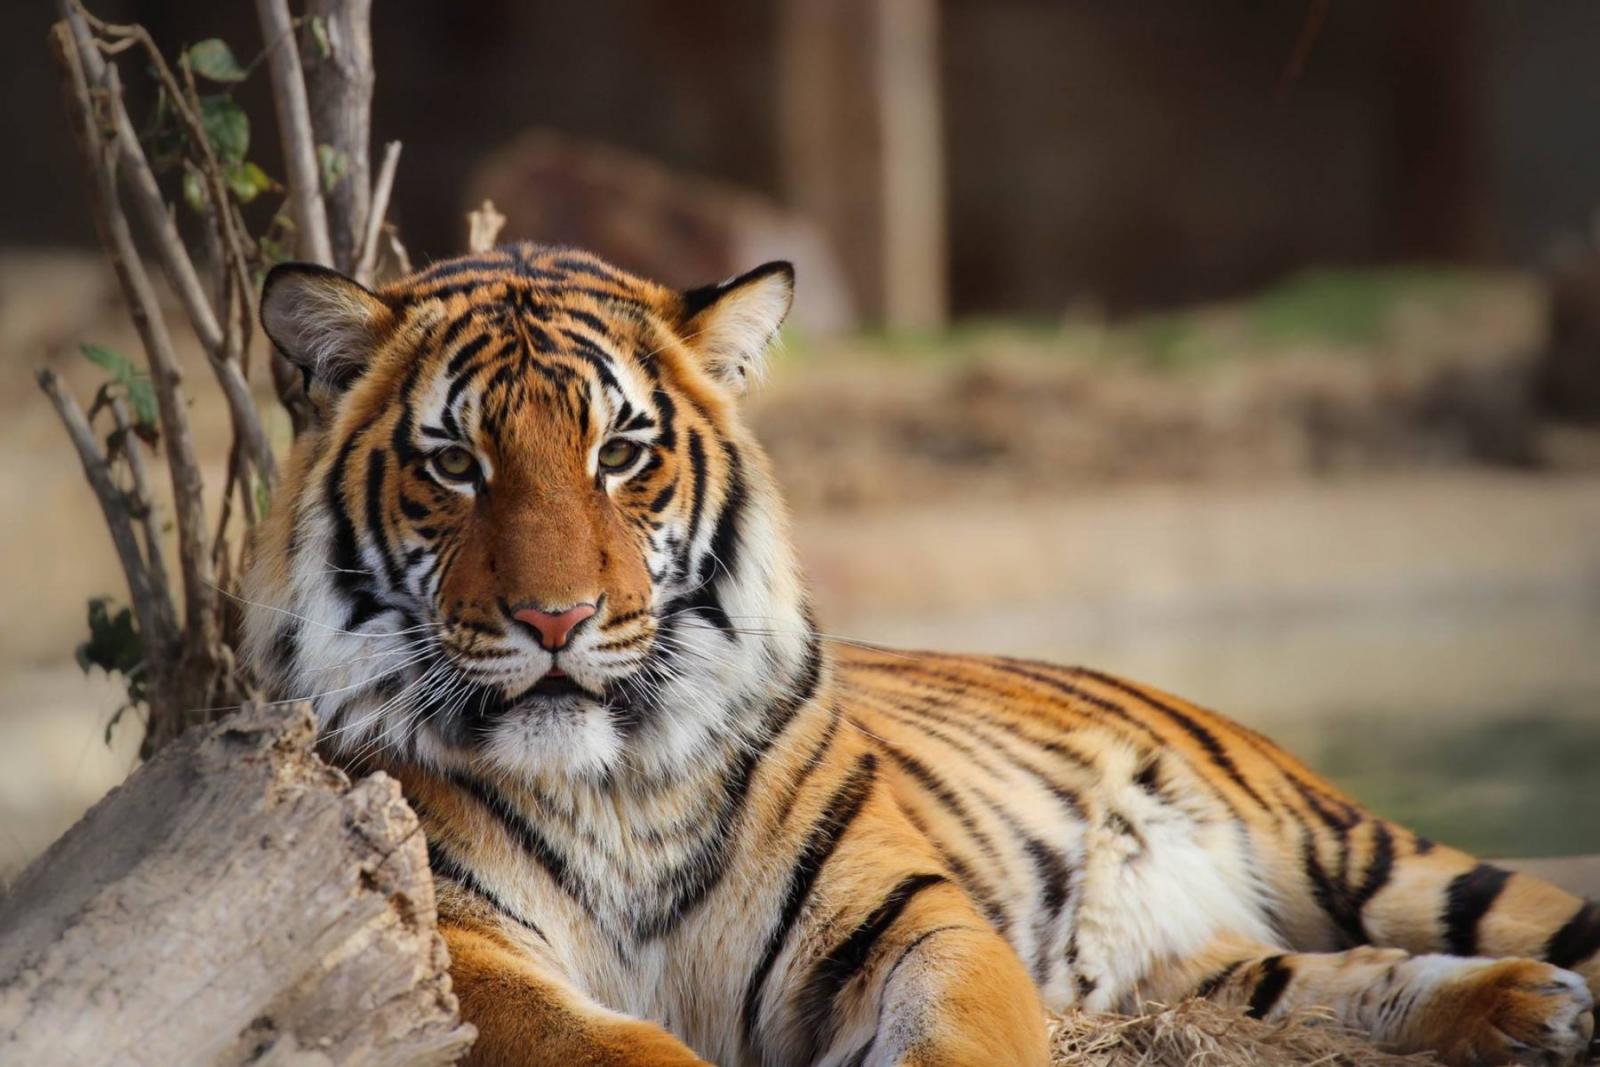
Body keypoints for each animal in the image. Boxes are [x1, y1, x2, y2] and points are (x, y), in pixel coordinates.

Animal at [243, 244, 1593, 1067]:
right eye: (454, 462)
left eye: (619, 454)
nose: (558, 619)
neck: (617, 777)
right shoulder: (445, 940)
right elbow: (601, 1037)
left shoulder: (910, 914)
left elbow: (957, 1019)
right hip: (1193, 968)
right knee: (1333, 975)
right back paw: (1520, 1008)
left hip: (1357, 849)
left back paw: (1537, 996)